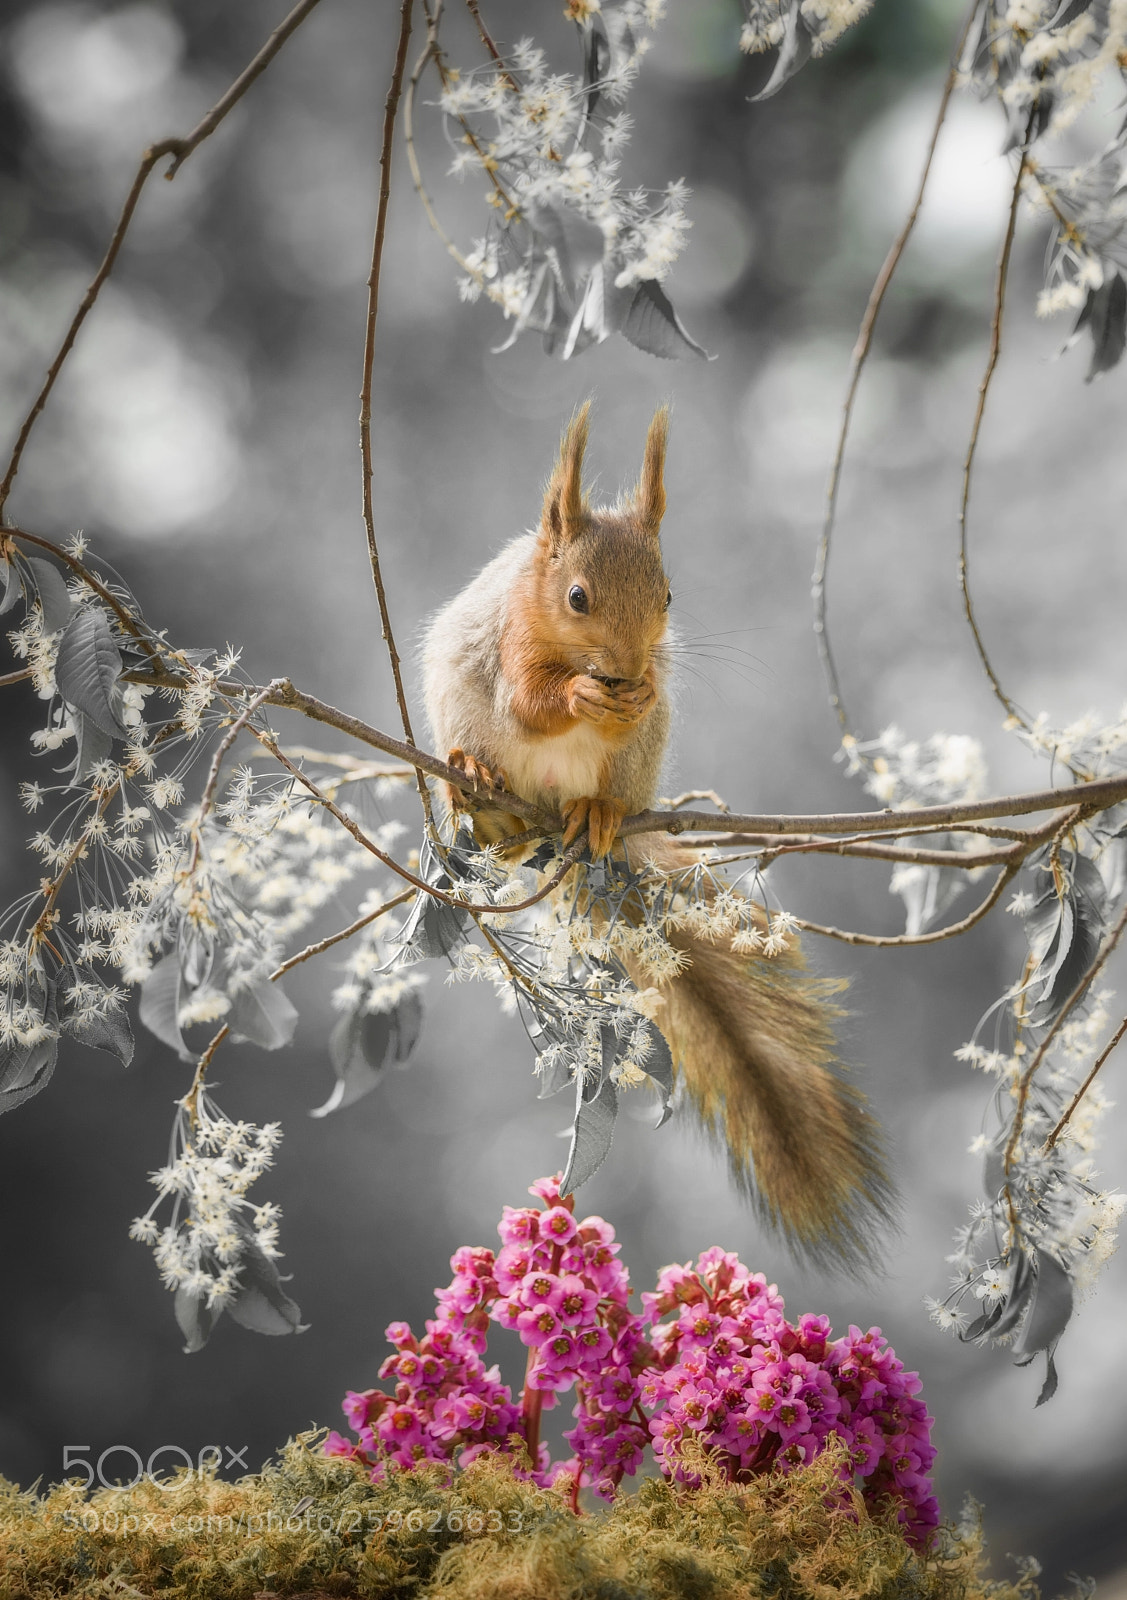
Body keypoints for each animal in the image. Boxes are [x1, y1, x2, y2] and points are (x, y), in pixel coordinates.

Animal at [422, 403, 892, 1268]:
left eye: (669, 593)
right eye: (576, 596)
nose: (628, 666)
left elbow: (628, 704)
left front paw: (628, 696)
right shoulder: (510, 643)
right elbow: (529, 701)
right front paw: (576, 694)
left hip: (633, 768)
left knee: (605, 791)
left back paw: (597, 813)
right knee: (489, 768)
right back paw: (481, 788)